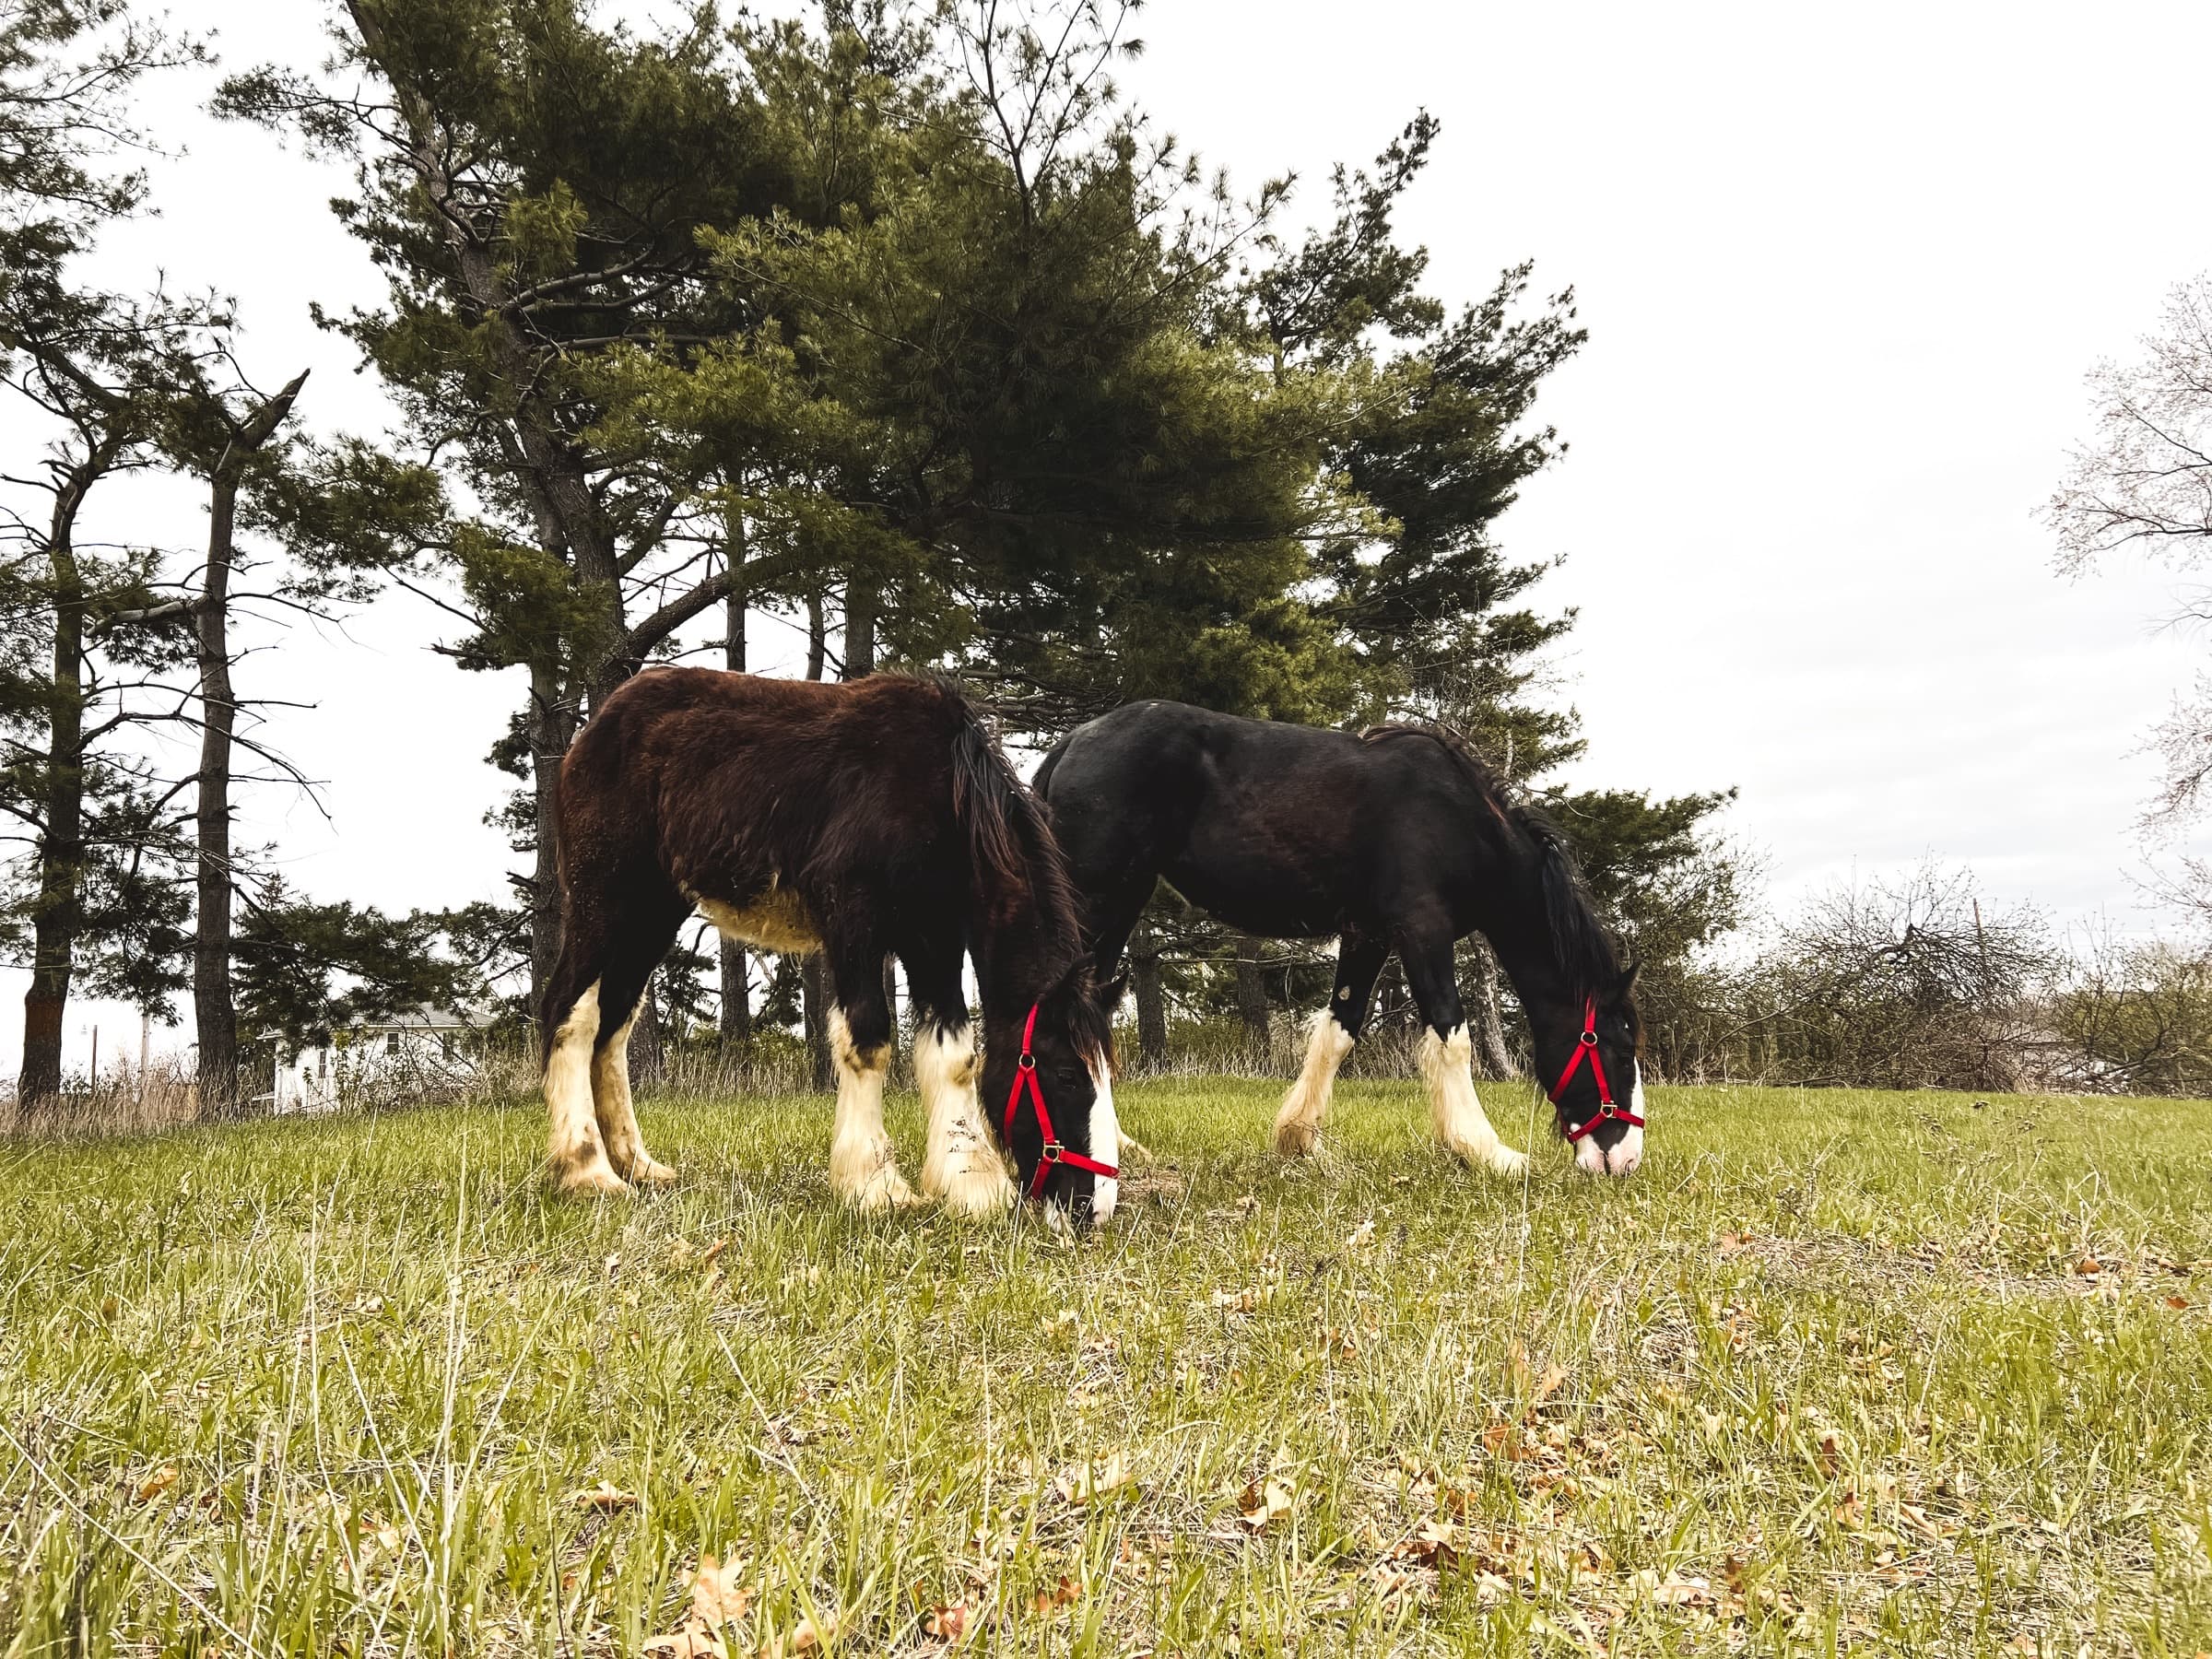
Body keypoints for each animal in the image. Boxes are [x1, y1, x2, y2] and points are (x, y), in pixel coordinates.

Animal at [539, 668, 1122, 1224]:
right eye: (1067, 1074)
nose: (1094, 1207)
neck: (943, 794)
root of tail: (589, 735)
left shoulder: (933, 939)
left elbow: (954, 1054)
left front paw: (969, 1185)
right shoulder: (854, 919)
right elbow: (868, 1040)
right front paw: (876, 1186)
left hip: (654, 911)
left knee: (614, 1024)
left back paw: (637, 1165)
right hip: (604, 899)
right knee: (572, 1011)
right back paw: (588, 1170)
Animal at [1035, 701, 1645, 1177]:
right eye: (1619, 1048)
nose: (1627, 1158)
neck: (1462, 820)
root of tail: (1073, 741)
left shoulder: (1366, 935)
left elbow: (1340, 1030)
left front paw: (1299, 1138)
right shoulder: (1422, 931)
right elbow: (1453, 1035)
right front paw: (1488, 1150)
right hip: (1101, 900)